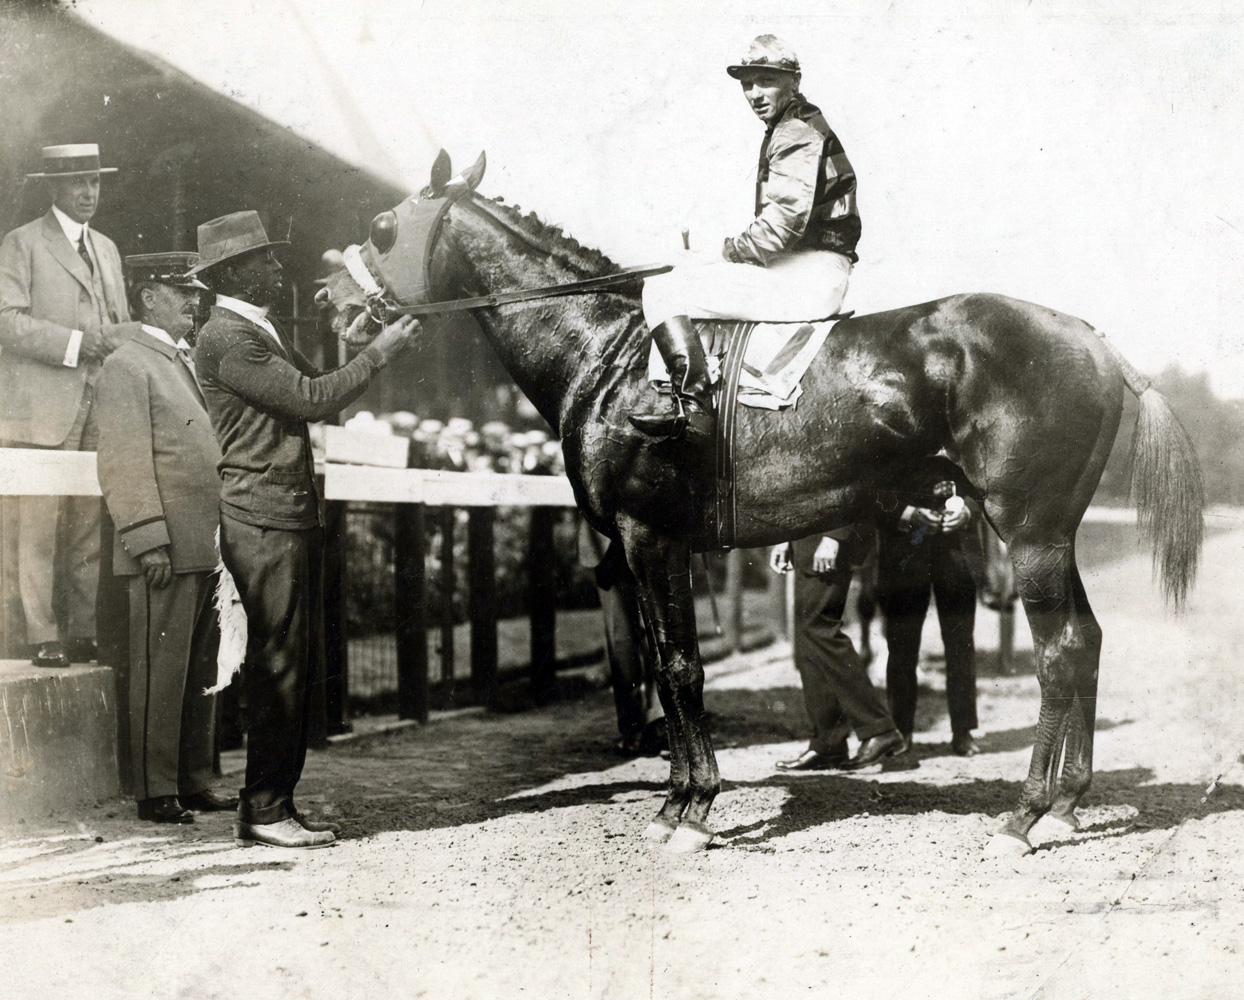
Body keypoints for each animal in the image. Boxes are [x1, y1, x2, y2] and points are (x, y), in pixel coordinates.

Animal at [320, 152, 1204, 855]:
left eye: (383, 225)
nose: (329, 297)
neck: (610, 353)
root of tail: (1088, 336)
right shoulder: (643, 549)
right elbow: (664, 662)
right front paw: (678, 799)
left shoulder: (647, 537)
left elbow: (680, 664)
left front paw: (691, 810)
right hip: (1051, 532)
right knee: (1086, 642)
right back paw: (1067, 806)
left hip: (1027, 530)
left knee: (1059, 653)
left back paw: (1024, 817)